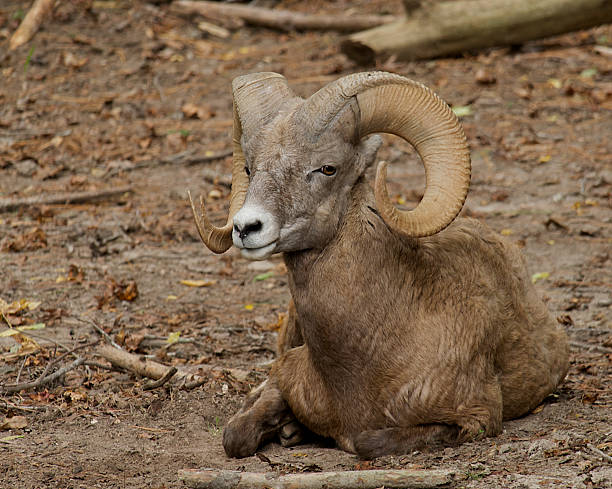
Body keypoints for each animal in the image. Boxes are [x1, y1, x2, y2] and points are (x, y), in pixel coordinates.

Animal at [188, 71, 568, 458]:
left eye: (328, 168)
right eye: (249, 168)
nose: (246, 227)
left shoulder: (476, 419)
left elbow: (366, 441)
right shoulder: (282, 375)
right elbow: (236, 435)